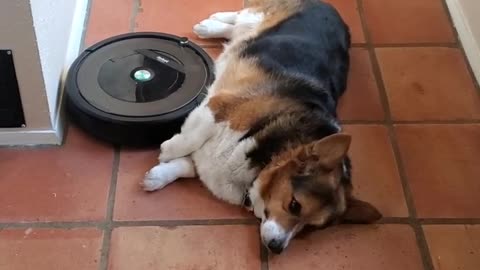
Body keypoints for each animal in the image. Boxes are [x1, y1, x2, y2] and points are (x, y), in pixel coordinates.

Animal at [144, 0, 380, 253]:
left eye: (310, 228)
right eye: (294, 205)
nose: (277, 247)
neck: (267, 157)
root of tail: (332, 9)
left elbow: (188, 166)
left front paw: (157, 177)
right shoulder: (218, 105)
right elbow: (191, 138)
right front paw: (167, 151)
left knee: (238, 28)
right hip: (258, 16)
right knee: (242, 15)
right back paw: (210, 25)